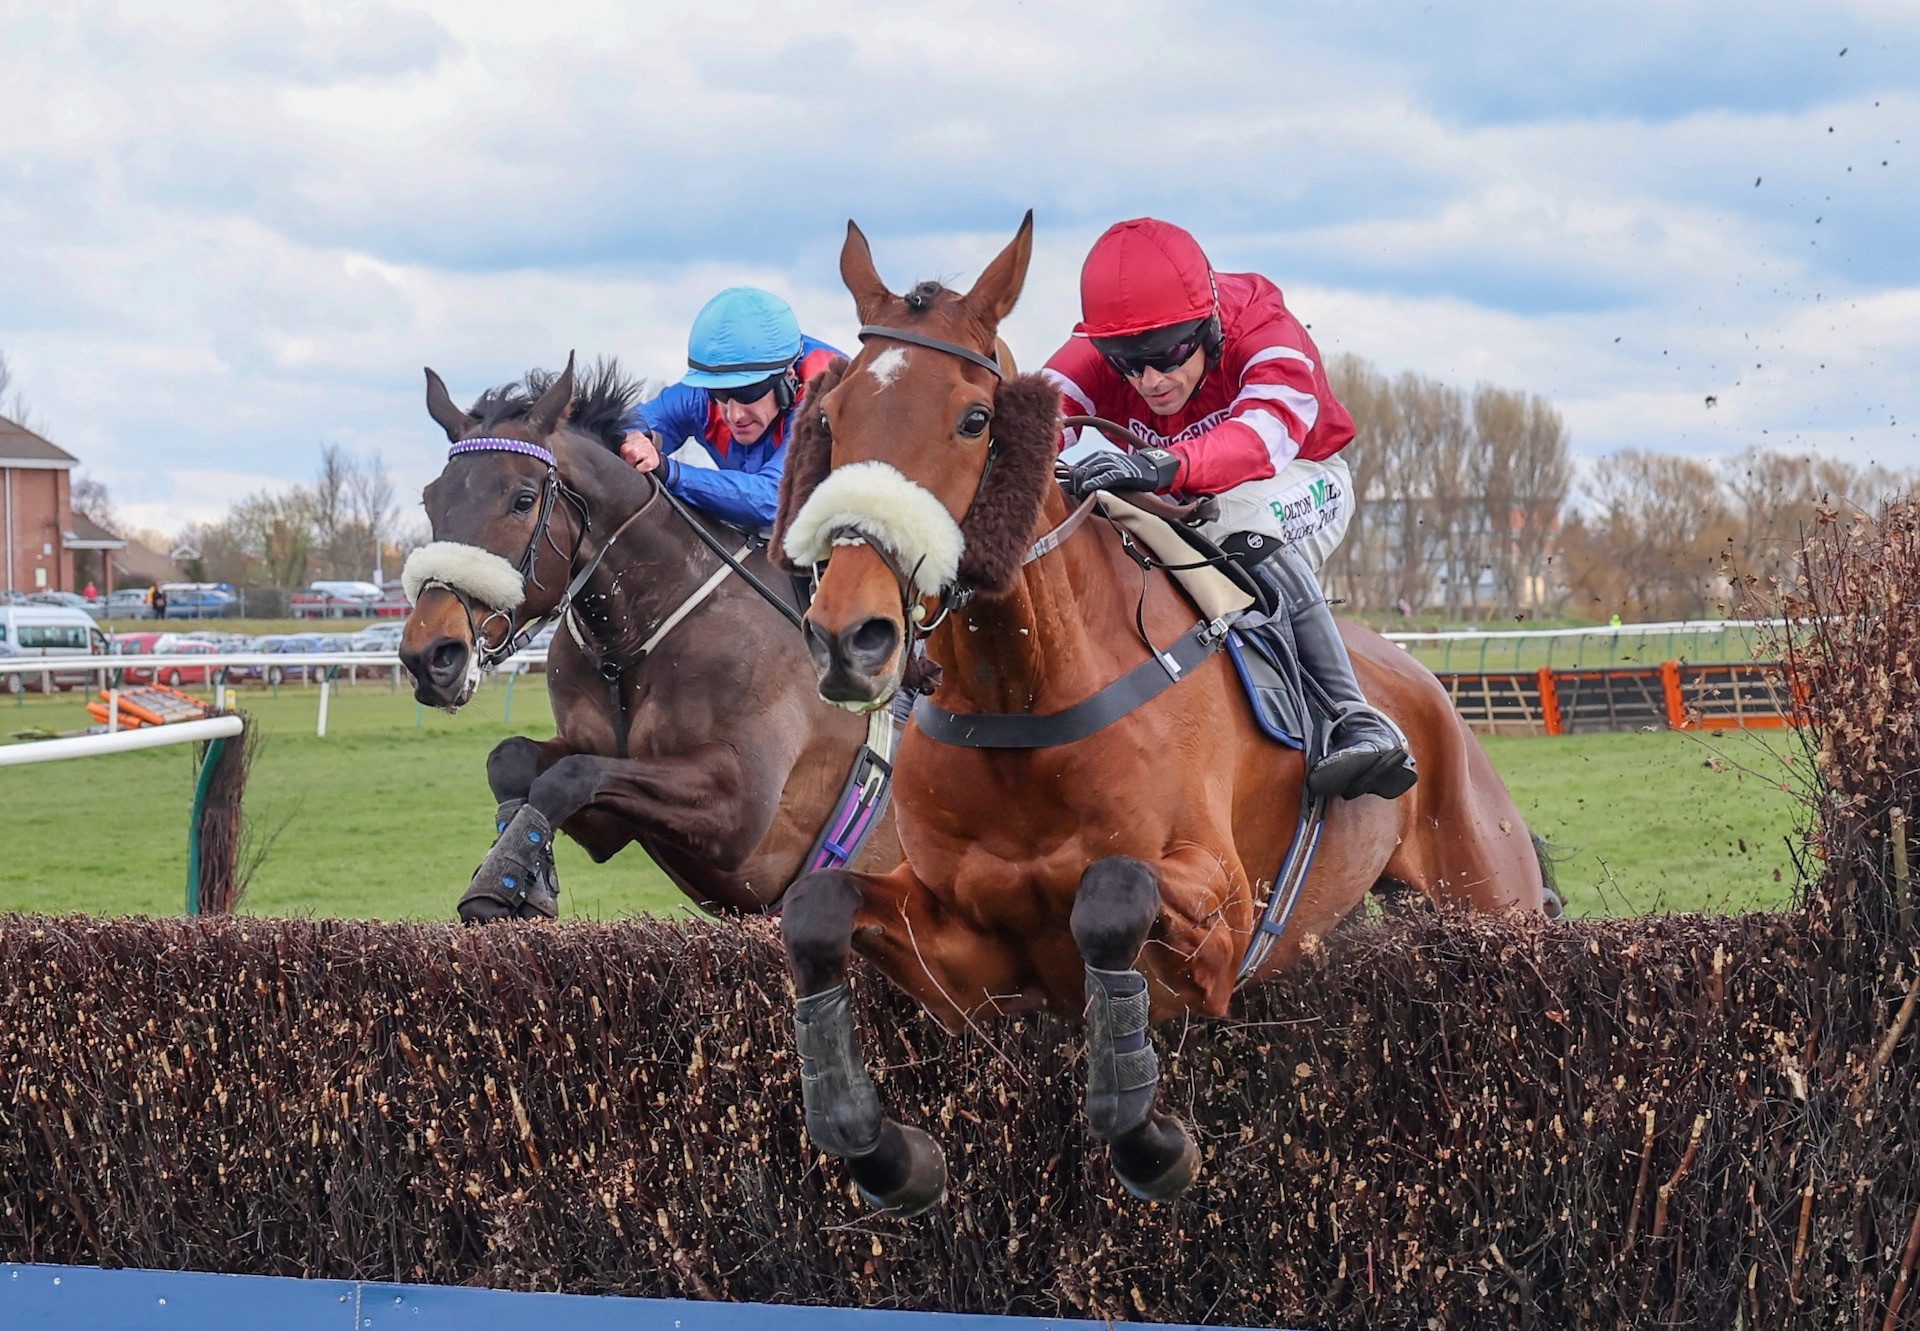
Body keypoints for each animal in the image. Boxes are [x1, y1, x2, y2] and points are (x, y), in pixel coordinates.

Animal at [395, 355, 898, 925]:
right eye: (430, 500)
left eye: (522, 500)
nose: (429, 655)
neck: (627, 647)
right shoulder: (611, 820)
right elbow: (515, 760)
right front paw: (521, 874)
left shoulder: (740, 812)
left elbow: (570, 776)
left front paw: (502, 880)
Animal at [764, 215, 1559, 1213]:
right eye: (830, 418)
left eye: (975, 418)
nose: (849, 635)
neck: (1023, 694)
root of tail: (1429, 689)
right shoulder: (969, 970)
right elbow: (816, 911)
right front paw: (884, 1152)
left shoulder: (1220, 917)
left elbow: (1111, 896)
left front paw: (1150, 1139)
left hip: (1491, 897)